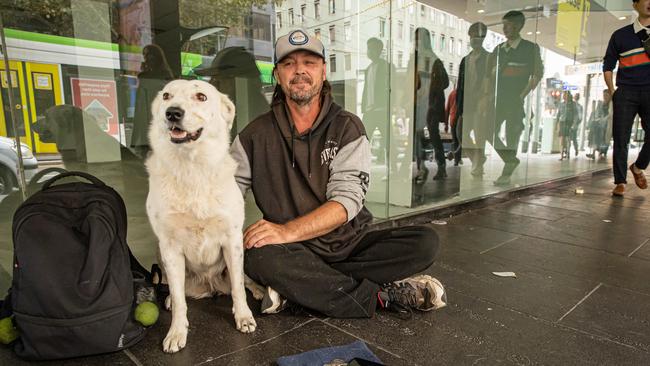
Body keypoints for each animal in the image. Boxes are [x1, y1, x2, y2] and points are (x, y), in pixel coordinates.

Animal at [146, 78, 262, 354]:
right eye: (166, 96)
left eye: (201, 96)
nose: (172, 113)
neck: (192, 168)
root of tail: (210, 287)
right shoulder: (169, 247)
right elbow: (180, 300)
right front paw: (176, 332)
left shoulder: (232, 239)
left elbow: (239, 288)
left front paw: (244, 317)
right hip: (160, 253)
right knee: (177, 290)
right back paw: (168, 298)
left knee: (242, 281)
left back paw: (258, 291)